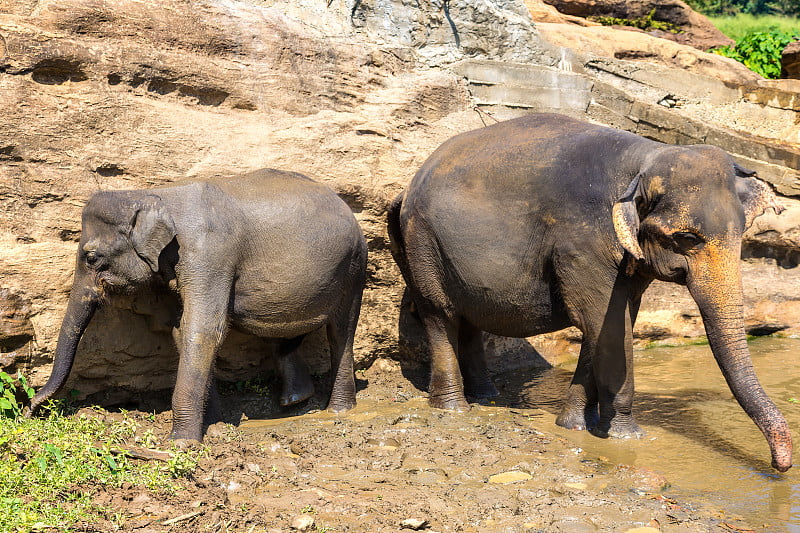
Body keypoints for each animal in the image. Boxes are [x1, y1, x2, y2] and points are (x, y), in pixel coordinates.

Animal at [26, 167, 368, 440]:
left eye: (92, 258)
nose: (30, 409)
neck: (154, 195)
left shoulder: (208, 253)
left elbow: (201, 330)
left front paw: (181, 442)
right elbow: (181, 330)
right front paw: (215, 424)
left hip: (354, 265)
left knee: (341, 330)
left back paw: (338, 410)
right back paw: (294, 402)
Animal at [390, 112, 792, 470]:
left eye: (742, 232)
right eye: (687, 239)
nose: (781, 465)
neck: (644, 159)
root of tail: (407, 186)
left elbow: (609, 323)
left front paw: (573, 425)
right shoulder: (582, 241)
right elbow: (608, 325)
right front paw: (627, 436)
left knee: (468, 320)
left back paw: (487, 397)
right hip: (422, 243)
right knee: (440, 314)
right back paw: (453, 408)